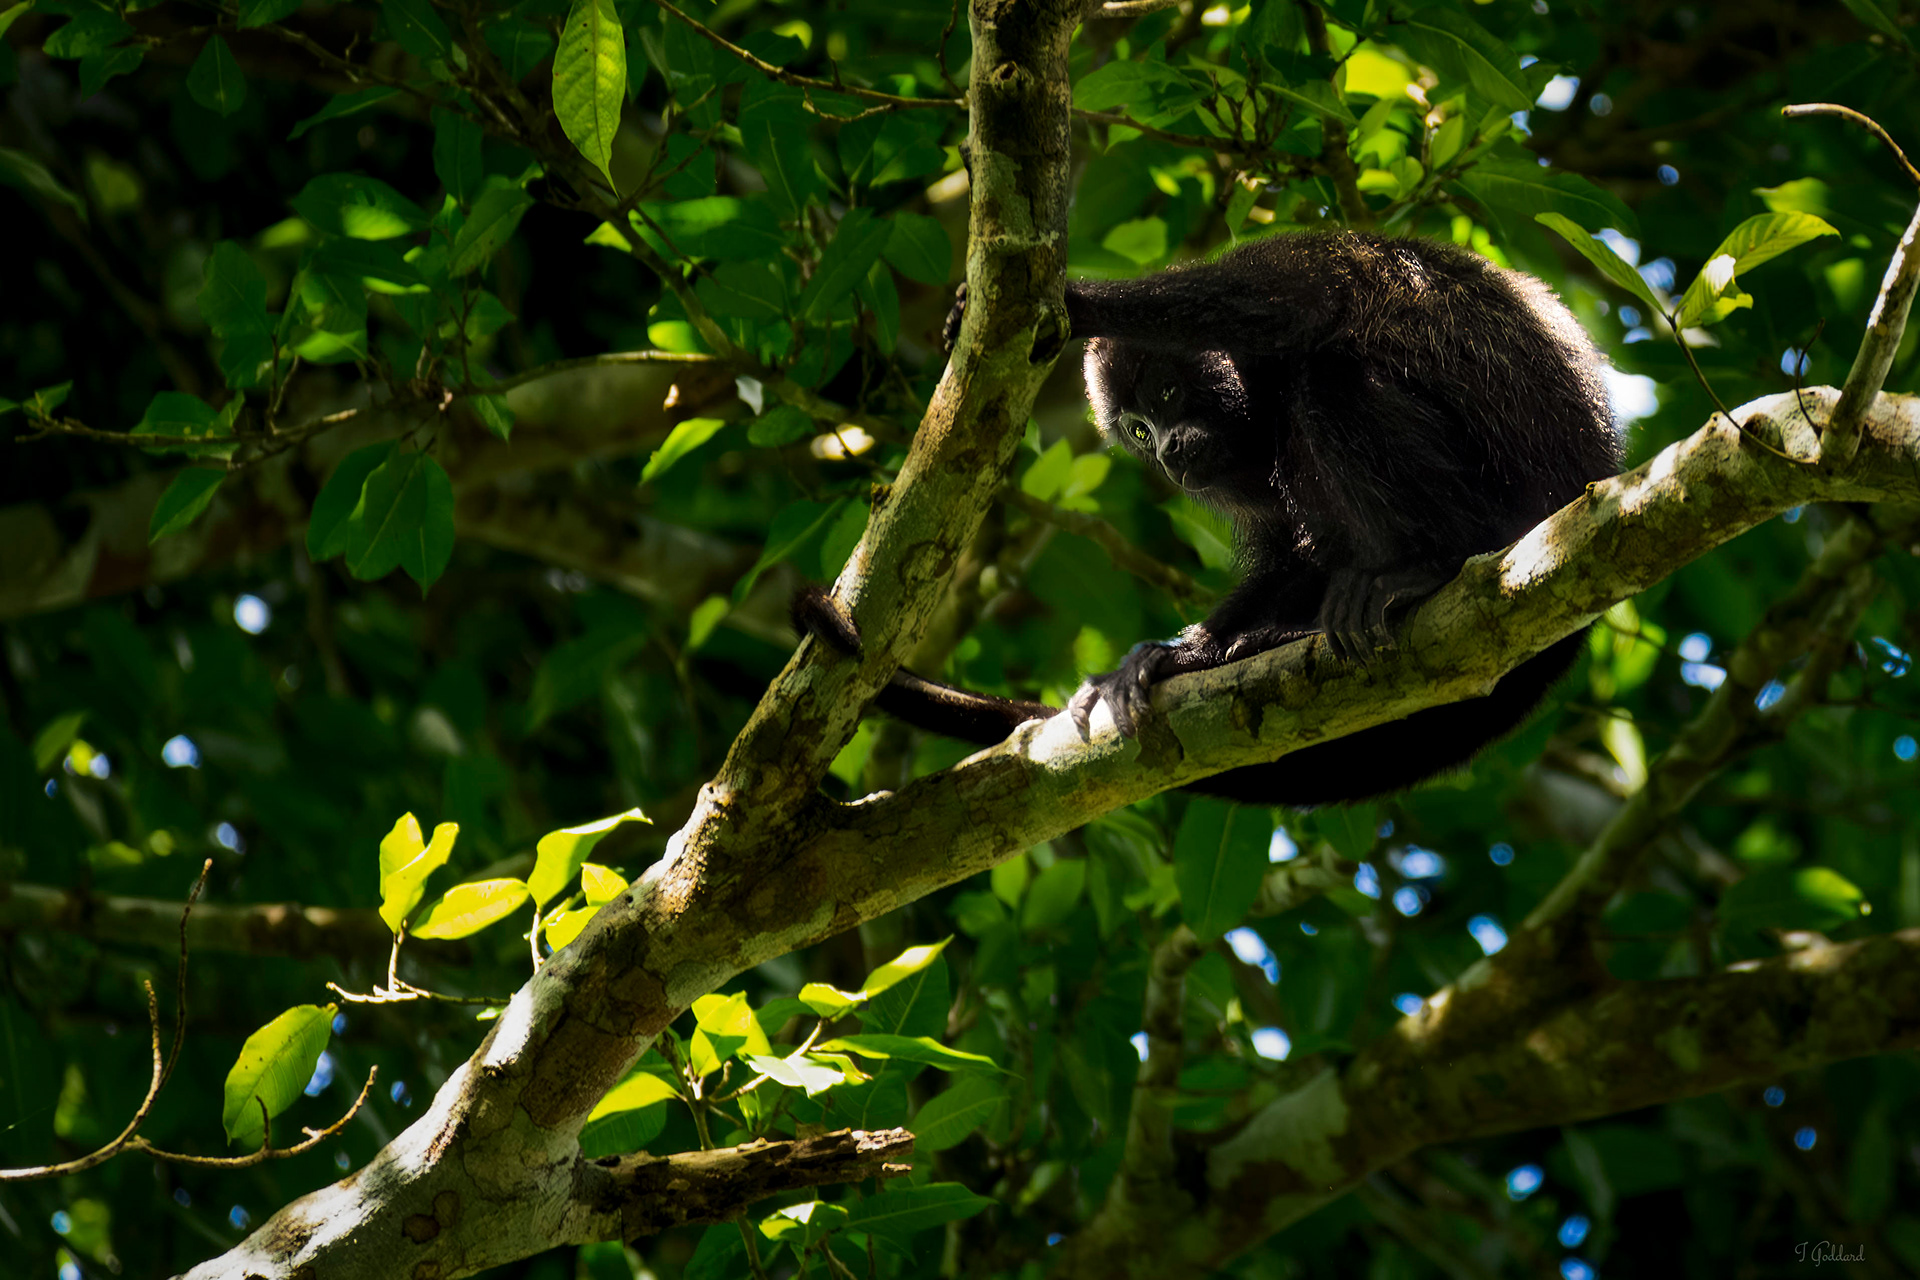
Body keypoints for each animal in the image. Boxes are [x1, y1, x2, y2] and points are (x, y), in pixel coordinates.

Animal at [800, 230, 1620, 806]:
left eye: (1165, 394)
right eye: (1134, 430)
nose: (1165, 450)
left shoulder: (1298, 262)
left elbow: (1268, 308)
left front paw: (1075, 304)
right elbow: (1292, 553)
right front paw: (1180, 654)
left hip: (1508, 498)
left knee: (1328, 376)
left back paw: (1427, 567)